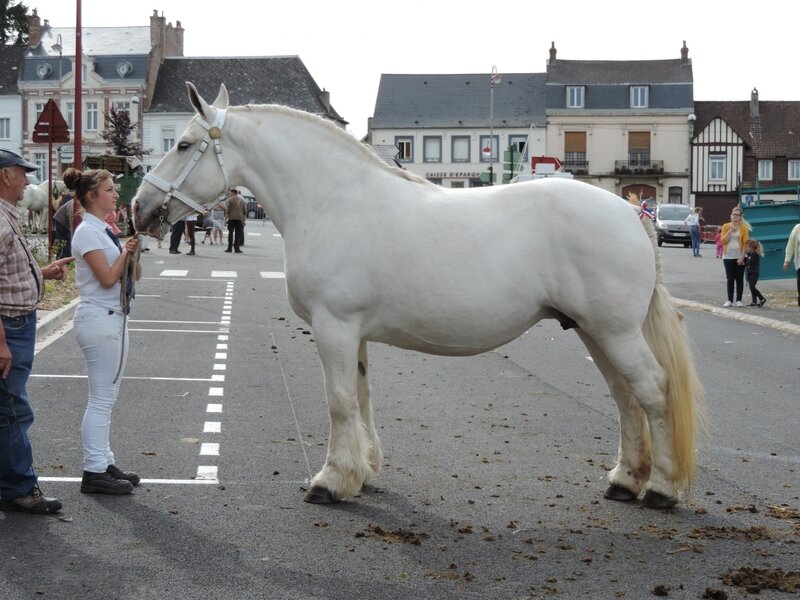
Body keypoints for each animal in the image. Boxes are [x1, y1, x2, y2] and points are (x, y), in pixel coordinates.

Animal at [133, 82, 708, 508]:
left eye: (182, 145)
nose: (140, 210)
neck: (331, 198)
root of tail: (632, 212)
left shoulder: (333, 325)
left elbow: (339, 400)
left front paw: (329, 482)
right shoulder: (353, 332)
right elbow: (361, 397)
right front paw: (362, 472)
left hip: (615, 332)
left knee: (652, 392)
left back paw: (659, 489)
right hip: (595, 332)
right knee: (626, 399)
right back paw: (625, 481)